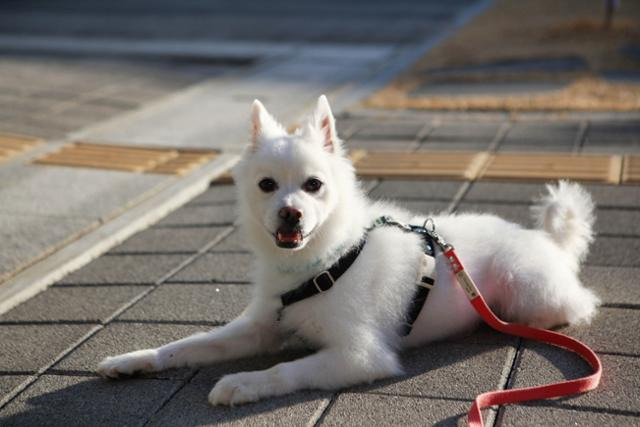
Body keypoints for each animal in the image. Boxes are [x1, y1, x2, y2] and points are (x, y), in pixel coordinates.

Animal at [96, 95, 600, 406]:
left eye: (313, 185)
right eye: (267, 185)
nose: (291, 214)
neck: (320, 264)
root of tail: (547, 240)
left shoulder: (359, 356)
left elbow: (285, 370)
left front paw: (242, 382)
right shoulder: (258, 329)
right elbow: (188, 344)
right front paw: (134, 360)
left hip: (528, 296)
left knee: (577, 306)